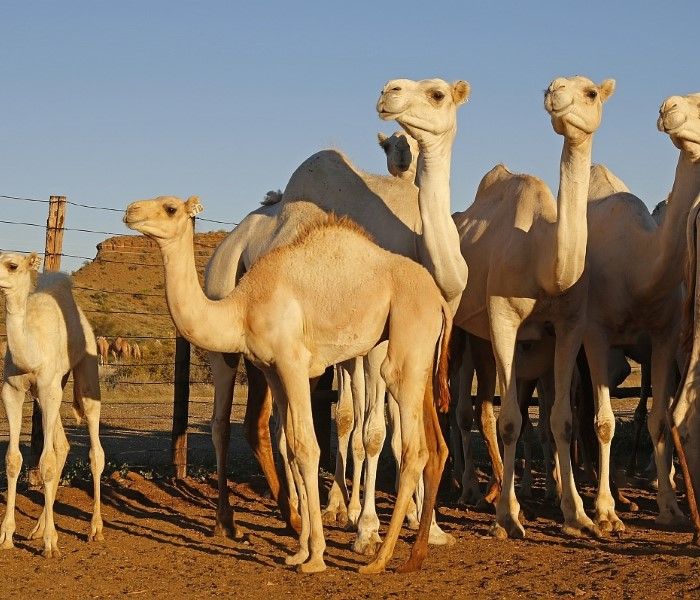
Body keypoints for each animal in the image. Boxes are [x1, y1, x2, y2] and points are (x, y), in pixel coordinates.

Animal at [0, 253, 104, 557]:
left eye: (12, 265)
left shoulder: (47, 388)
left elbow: (44, 461)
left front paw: (51, 543)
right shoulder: (12, 390)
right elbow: (13, 459)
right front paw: (7, 537)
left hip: (85, 370)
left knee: (95, 450)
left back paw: (95, 529)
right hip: (53, 389)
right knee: (62, 445)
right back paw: (37, 529)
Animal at [125, 195, 452, 574]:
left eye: (170, 208)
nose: (130, 211)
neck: (242, 306)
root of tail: (440, 300)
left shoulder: (293, 362)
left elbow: (308, 448)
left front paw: (316, 557)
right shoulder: (272, 369)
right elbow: (293, 447)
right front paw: (301, 551)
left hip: (404, 347)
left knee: (414, 447)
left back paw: (381, 557)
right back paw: (414, 553)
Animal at [204, 77, 470, 548]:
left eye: (437, 94)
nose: (389, 91)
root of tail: (230, 244)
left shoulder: (422, 340)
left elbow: (404, 429)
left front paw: (431, 527)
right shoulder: (374, 347)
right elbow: (373, 432)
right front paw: (365, 526)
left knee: (273, 423)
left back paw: (292, 512)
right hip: (226, 330)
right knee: (224, 422)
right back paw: (236, 520)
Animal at [452, 75, 615, 539]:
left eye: (591, 92)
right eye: (551, 86)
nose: (555, 92)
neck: (544, 263)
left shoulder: (569, 325)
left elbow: (560, 419)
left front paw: (577, 514)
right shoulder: (502, 317)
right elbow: (511, 420)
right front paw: (508, 517)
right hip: (460, 331)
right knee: (460, 409)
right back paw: (469, 492)